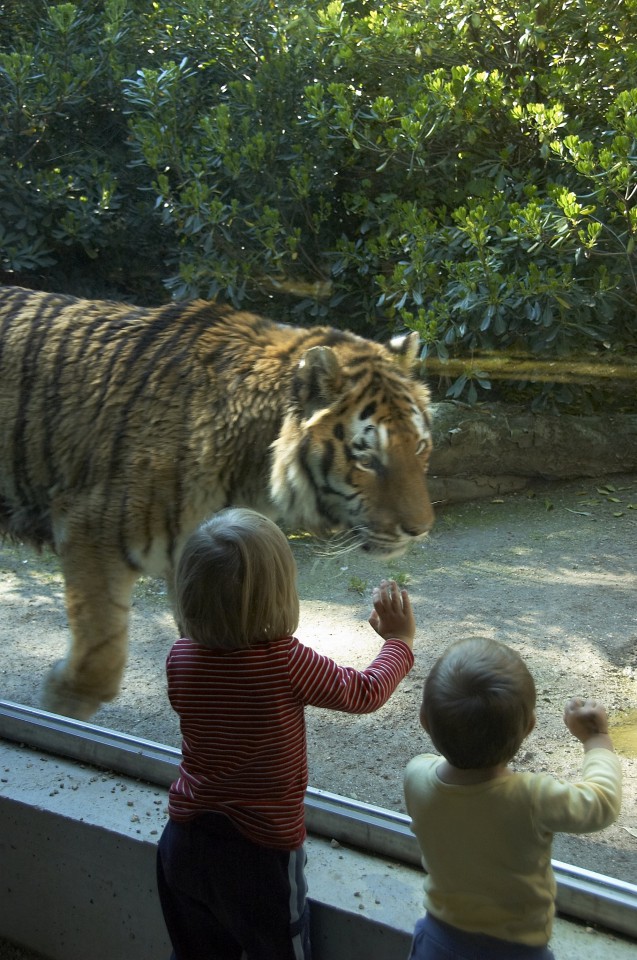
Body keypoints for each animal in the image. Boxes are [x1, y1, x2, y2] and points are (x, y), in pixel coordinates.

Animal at [0, 284, 432, 720]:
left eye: (420, 447)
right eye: (367, 460)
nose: (421, 529)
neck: (252, 464)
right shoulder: (89, 531)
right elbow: (99, 659)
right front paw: (60, 701)